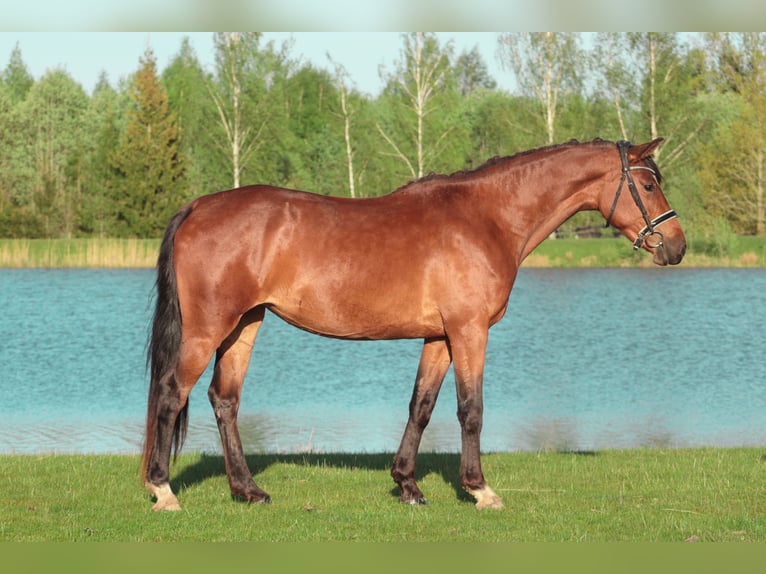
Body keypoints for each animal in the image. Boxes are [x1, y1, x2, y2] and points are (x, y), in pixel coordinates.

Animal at [142, 138, 686, 511]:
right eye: (648, 184)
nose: (677, 246)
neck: (485, 218)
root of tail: (198, 206)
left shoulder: (439, 336)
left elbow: (421, 407)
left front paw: (406, 484)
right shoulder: (469, 331)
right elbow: (471, 410)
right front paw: (480, 490)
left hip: (244, 325)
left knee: (224, 399)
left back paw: (248, 490)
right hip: (208, 328)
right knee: (171, 394)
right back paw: (163, 490)